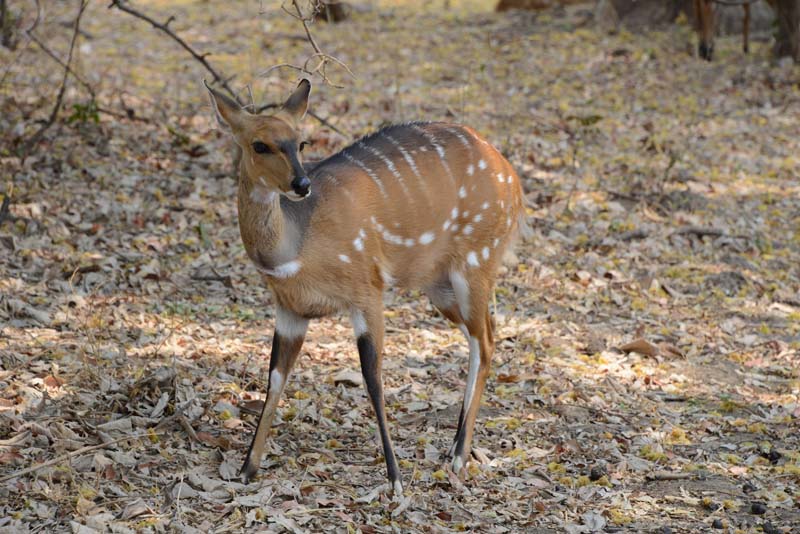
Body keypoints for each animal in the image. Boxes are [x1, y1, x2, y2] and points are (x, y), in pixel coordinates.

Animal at [205, 78, 524, 494]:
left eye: (300, 142)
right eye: (260, 144)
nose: (301, 184)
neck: (295, 246)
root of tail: (513, 178)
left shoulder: (368, 290)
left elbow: (372, 378)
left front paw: (395, 479)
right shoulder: (290, 310)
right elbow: (274, 378)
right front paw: (246, 469)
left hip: (475, 262)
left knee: (484, 340)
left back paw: (458, 457)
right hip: (440, 285)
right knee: (487, 332)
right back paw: (458, 449)